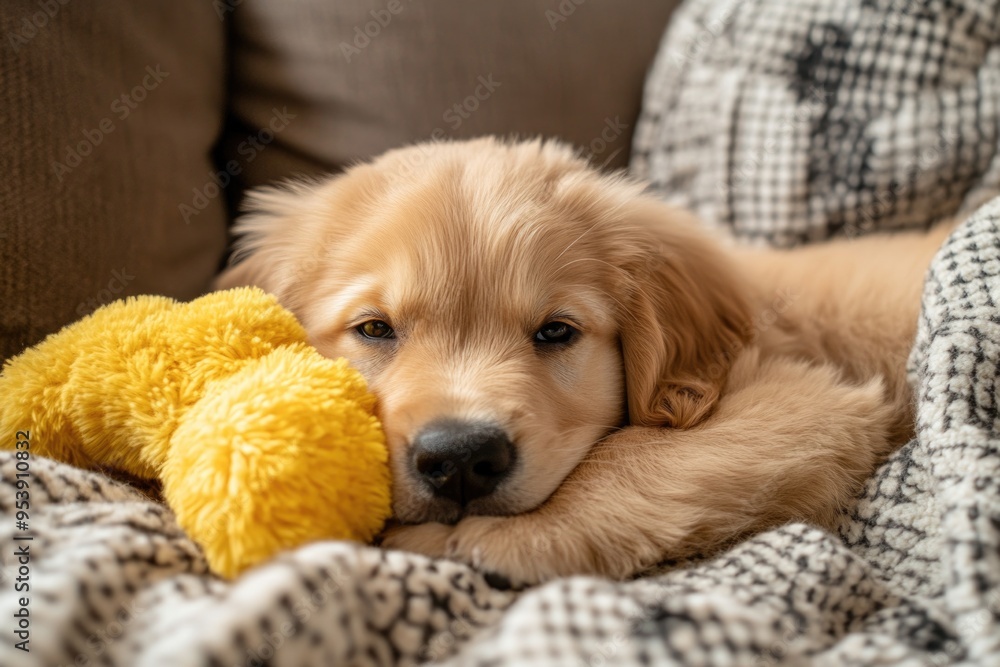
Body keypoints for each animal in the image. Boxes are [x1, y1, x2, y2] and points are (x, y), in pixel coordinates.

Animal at [217, 140, 952, 584]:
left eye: (555, 332)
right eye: (374, 328)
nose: (461, 458)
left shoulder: (808, 398)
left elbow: (630, 458)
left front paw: (484, 541)